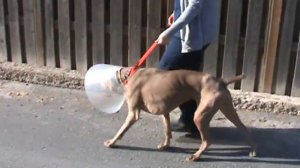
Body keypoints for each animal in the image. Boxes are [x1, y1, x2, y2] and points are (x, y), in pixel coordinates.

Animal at [104, 68, 256, 161]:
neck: (130, 73)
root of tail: (221, 81)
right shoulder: (164, 112)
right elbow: (167, 130)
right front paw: (165, 145)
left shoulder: (133, 114)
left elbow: (121, 130)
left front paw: (111, 142)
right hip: (227, 109)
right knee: (244, 128)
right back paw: (253, 150)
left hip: (200, 116)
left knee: (207, 141)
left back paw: (196, 156)